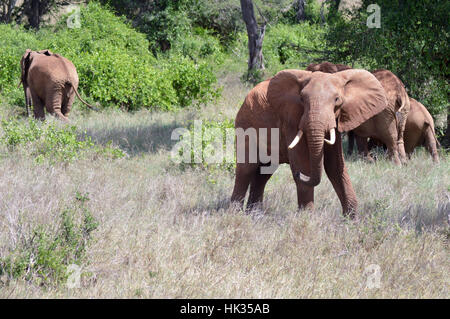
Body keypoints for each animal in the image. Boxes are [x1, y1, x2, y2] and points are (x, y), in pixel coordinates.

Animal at [230, 68, 388, 216]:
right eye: (302, 99)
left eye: (337, 99)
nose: (296, 174)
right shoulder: (292, 119)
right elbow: (303, 163)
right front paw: (307, 217)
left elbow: (335, 166)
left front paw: (351, 219)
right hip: (245, 123)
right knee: (246, 169)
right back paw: (236, 214)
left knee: (264, 173)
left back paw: (254, 214)